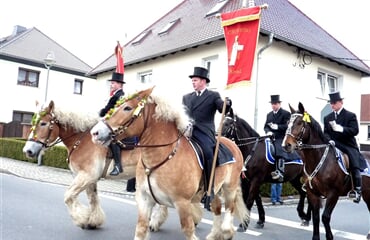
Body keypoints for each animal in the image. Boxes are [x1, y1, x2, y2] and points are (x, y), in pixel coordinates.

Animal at [21, 100, 168, 231]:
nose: (28, 151)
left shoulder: (87, 175)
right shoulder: (89, 178)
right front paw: (93, 221)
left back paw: (155, 222)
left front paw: (82, 218)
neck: (81, 140)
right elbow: (93, 198)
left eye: (43, 123)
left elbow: (68, 196)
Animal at [91, 87, 250, 240]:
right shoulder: (144, 199)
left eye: (127, 108)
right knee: (217, 207)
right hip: (215, 189)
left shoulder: (182, 203)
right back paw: (214, 235)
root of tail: (233, 143)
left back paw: (226, 231)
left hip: (229, 187)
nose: (95, 133)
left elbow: (188, 230)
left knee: (230, 207)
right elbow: (141, 229)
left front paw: (226, 103)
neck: (161, 156)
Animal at [284, 102, 370, 239]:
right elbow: (316, 218)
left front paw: (329, 236)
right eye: (288, 122)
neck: (318, 159)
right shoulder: (312, 193)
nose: (286, 145)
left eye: (300, 123)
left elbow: (325, 217)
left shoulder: (333, 194)